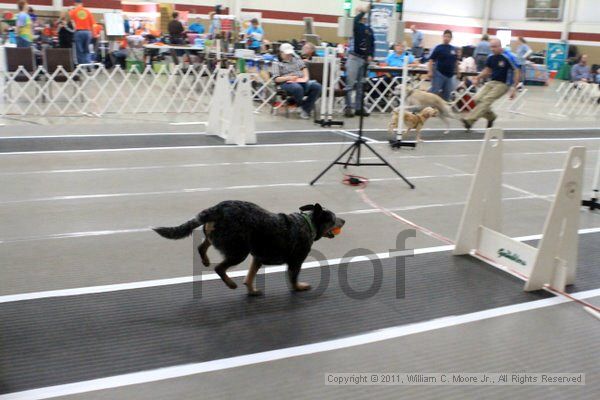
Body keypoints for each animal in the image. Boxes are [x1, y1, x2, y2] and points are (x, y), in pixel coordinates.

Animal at [152, 202, 344, 296]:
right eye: (334, 218)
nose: (344, 221)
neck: (307, 223)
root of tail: (217, 208)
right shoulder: (296, 261)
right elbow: (293, 278)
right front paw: (299, 287)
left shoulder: (257, 258)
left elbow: (250, 276)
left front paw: (251, 290)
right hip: (239, 251)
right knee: (219, 267)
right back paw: (230, 283)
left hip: (218, 237)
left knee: (202, 246)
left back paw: (206, 260)